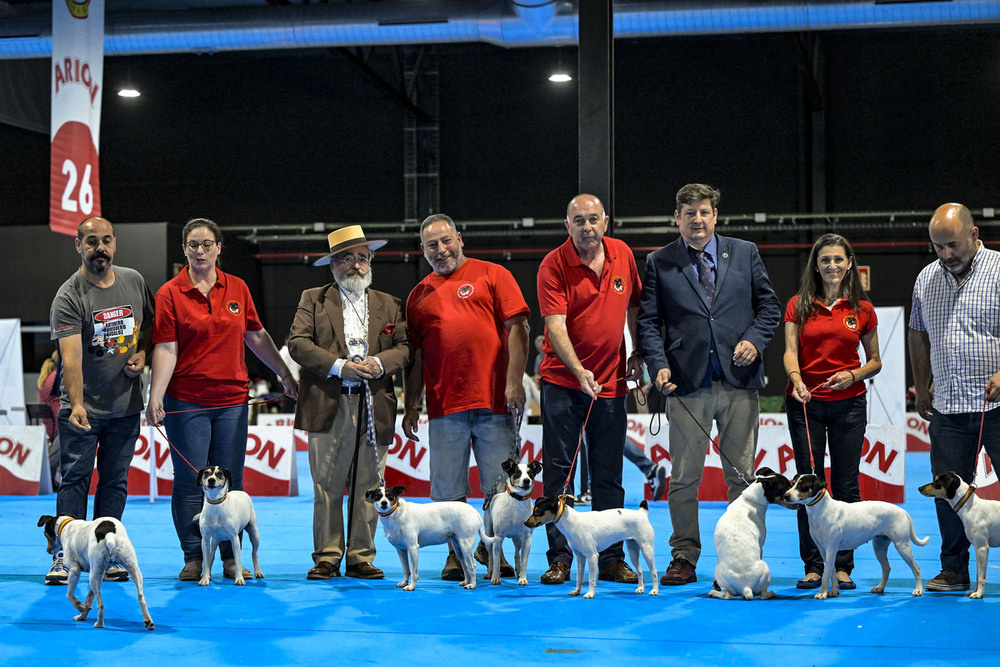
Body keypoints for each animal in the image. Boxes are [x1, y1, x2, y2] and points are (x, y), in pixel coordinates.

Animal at [366, 486, 498, 588]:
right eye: (377, 496)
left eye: (390, 496)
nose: (384, 503)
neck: (395, 514)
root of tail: (475, 512)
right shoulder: (401, 550)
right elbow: (405, 569)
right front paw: (404, 582)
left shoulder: (413, 548)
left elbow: (413, 571)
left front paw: (411, 586)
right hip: (458, 546)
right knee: (465, 565)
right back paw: (466, 581)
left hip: (466, 545)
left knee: (472, 566)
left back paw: (472, 585)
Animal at [524, 496, 656, 600]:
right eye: (533, 510)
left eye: (538, 512)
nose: (525, 523)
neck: (571, 522)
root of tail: (641, 513)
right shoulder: (580, 556)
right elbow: (579, 577)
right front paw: (577, 591)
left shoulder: (592, 556)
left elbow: (591, 578)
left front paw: (590, 593)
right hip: (633, 549)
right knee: (640, 571)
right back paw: (640, 588)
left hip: (647, 548)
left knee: (653, 571)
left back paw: (654, 591)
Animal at [708, 468, 792, 604]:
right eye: (786, 489)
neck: (750, 500)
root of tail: (745, 586)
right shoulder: (761, 546)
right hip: (765, 569)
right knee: (762, 594)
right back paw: (770, 593)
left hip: (720, 573)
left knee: (727, 595)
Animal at [780, 474, 928, 600]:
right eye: (793, 483)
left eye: (803, 485)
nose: (785, 495)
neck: (821, 510)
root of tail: (902, 511)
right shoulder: (823, 550)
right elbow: (832, 572)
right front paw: (834, 591)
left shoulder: (831, 549)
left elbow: (826, 574)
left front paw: (822, 593)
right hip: (879, 546)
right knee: (887, 568)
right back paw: (880, 588)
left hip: (902, 545)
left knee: (916, 568)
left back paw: (918, 590)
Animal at [916, 470, 1000, 600]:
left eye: (937, 482)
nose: (919, 488)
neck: (970, 507)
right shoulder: (977, 548)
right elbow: (978, 574)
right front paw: (974, 591)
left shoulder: (982, 548)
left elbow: (981, 577)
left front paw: (979, 594)